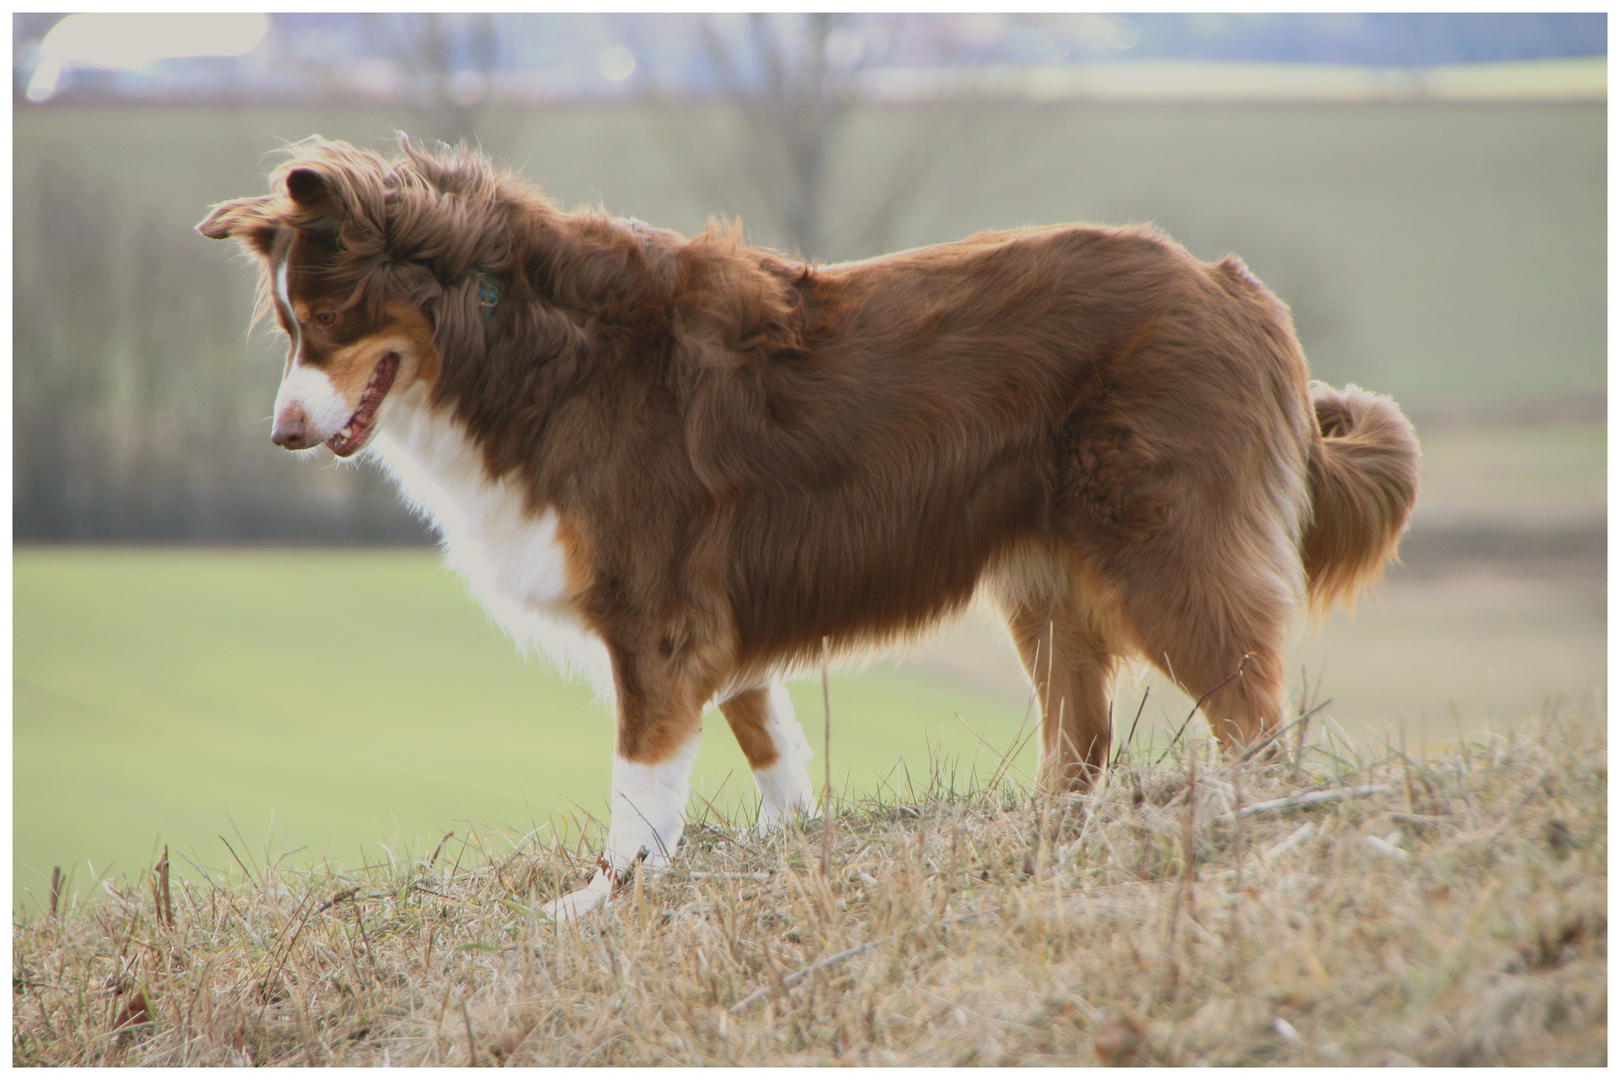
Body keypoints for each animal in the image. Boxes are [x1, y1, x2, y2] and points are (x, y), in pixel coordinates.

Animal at [199, 132, 1419, 913]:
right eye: (287, 325)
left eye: (330, 318)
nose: (283, 434)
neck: (515, 335)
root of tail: (1234, 287)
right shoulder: (717, 617)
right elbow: (770, 739)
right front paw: (789, 846)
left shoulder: (654, 615)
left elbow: (638, 776)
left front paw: (607, 897)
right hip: (1045, 581)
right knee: (1081, 732)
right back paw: (1048, 835)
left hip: (1165, 550)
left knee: (1249, 709)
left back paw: (1268, 815)